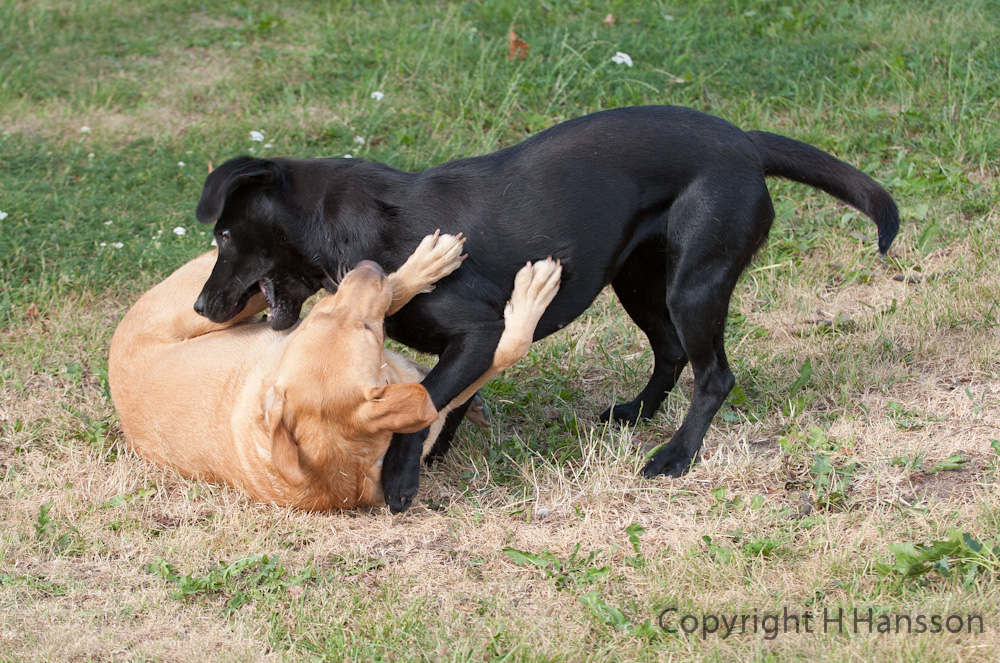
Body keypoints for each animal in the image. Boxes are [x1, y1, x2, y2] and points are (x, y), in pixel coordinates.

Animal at [108, 231, 562, 509]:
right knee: (394, 288)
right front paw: (533, 291)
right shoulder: (428, 399)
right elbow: (508, 348)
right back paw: (426, 263)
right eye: (366, 329)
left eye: (321, 318)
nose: (364, 266)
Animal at [191, 104, 899, 512]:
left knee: (715, 375)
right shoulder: (474, 347)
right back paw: (637, 414)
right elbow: (448, 402)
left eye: (223, 235)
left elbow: (422, 406)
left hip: (694, 283)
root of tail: (745, 142)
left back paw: (675, 455)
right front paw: (437, 457)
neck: (344, 228)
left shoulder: (475, 333)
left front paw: (401, 480)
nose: (200, 304)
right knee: (671, 353)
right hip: (638, 280)